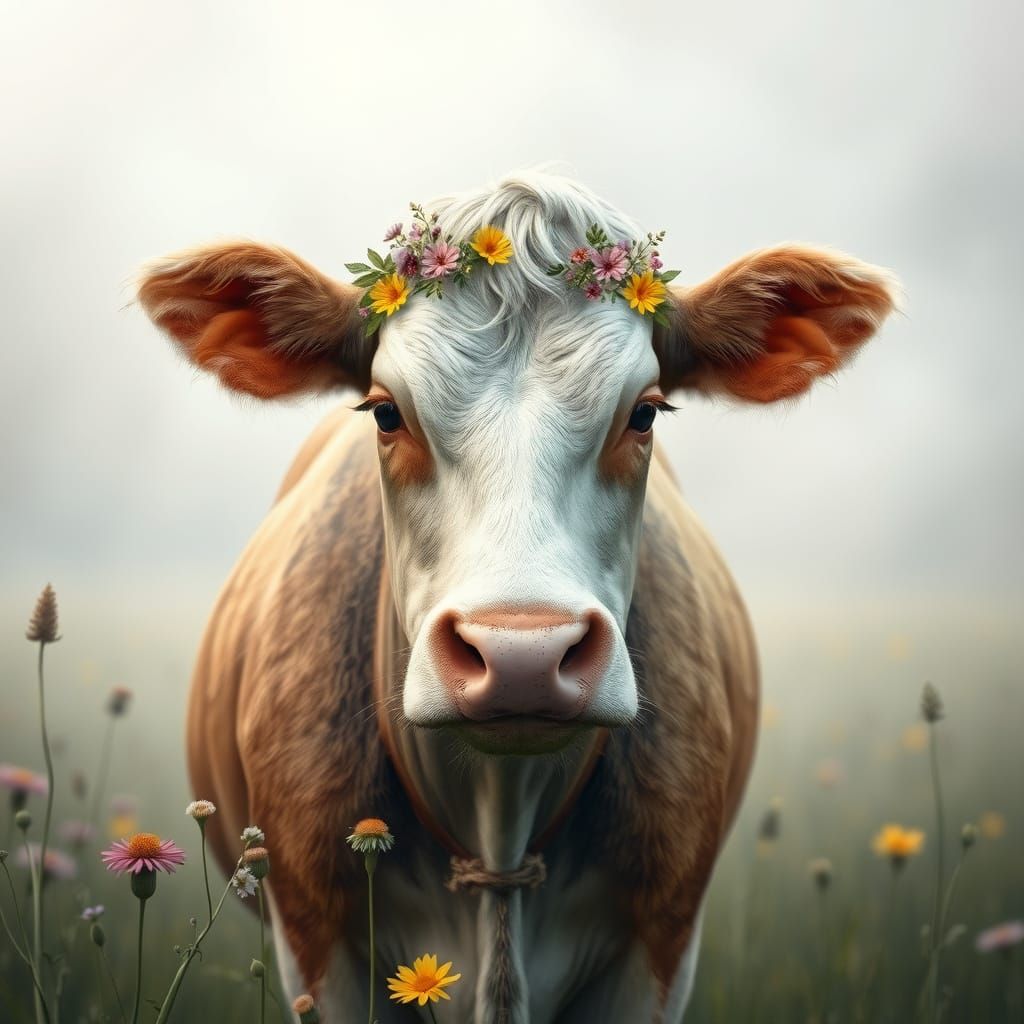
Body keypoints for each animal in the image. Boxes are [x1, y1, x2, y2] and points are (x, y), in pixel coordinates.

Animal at [137, 171, 897, 1023]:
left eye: (645, 411)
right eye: (386, 411)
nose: (522, 655)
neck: (498, 812)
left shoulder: (661, 943)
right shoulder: (316, 944)